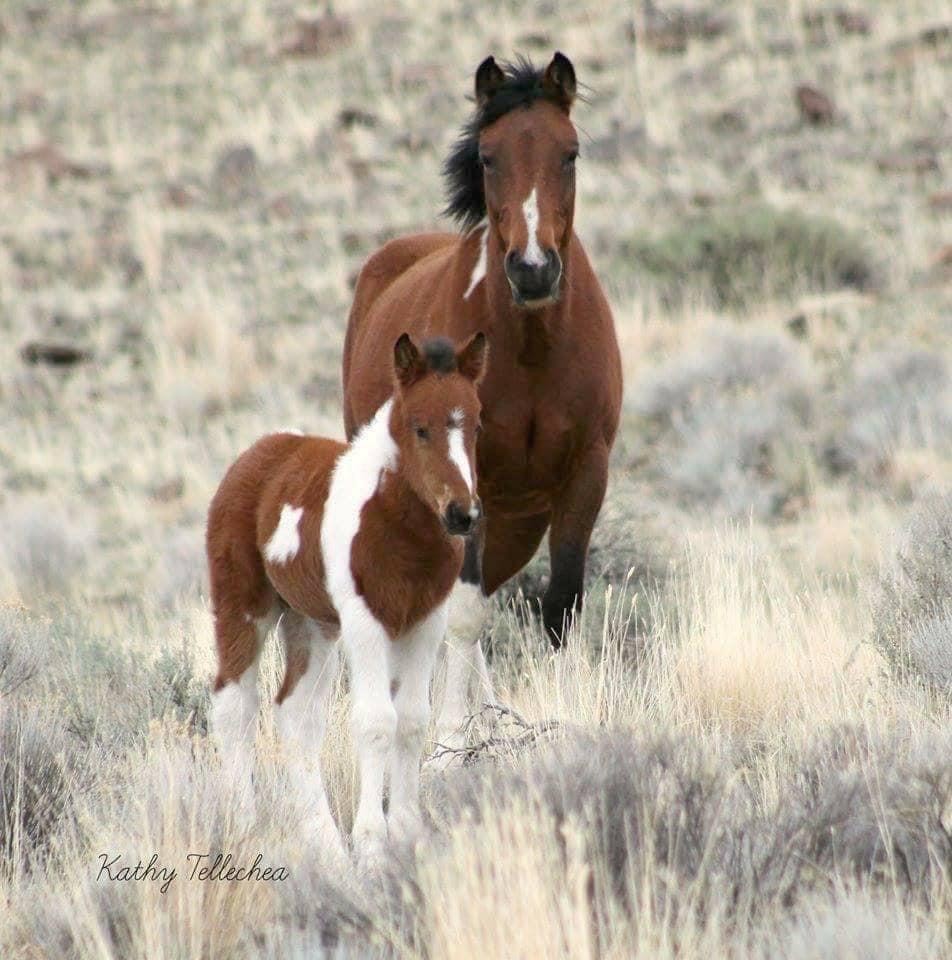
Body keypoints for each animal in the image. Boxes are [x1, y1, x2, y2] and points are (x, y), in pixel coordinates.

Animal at [210, 334, 490, 860]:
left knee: (295, 714)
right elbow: (377, 721)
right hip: (243, 605)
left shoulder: (426, 622)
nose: (462, 514)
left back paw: (324, 844)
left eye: (476, 423)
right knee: (234, 705)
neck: (396, 528)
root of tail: (259, 450)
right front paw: (372, 845)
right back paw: (246, 831)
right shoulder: (366, 622)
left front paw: (407, 831)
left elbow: (412, 720)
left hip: (311, 623)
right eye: (420, 428)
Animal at [342, 52, 624, 752]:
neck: (530, 352)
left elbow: (562, 605)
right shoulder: (472, 483)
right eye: (489, 157)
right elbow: (465, 615)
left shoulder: (586, 473)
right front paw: (448, 741)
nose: (532, 268)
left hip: (518, 521)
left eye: (570, 153)